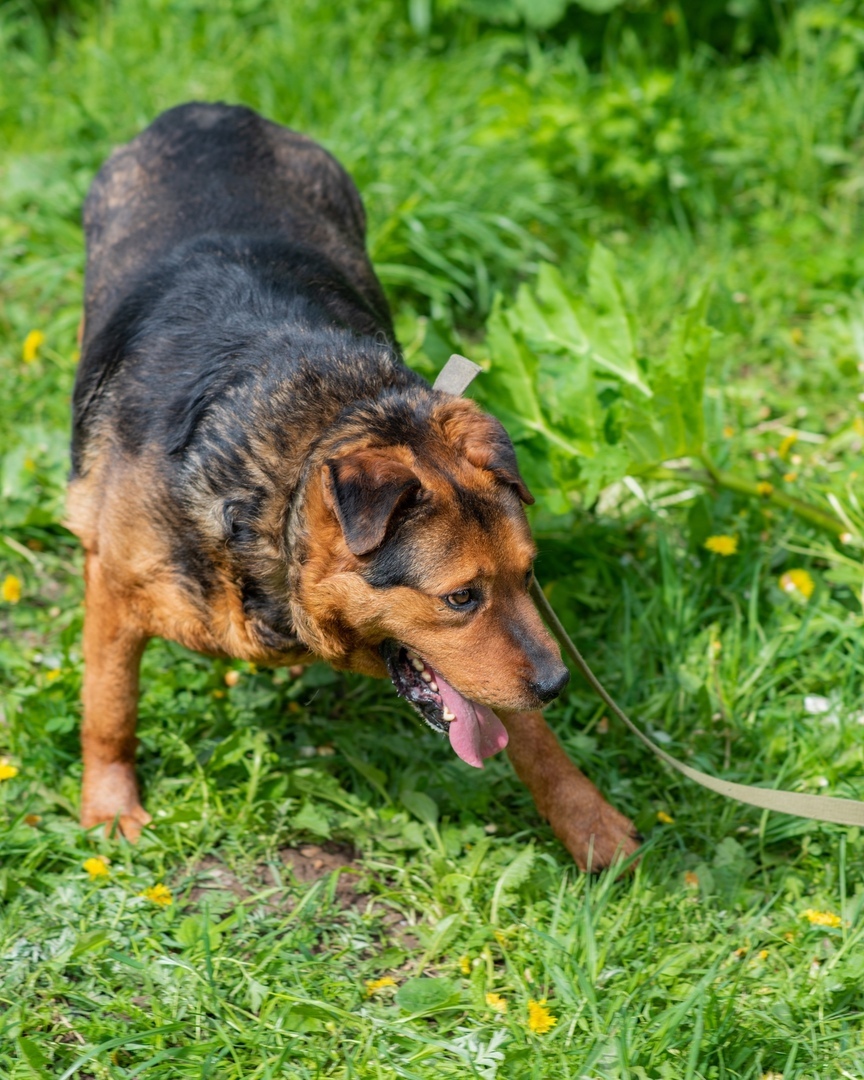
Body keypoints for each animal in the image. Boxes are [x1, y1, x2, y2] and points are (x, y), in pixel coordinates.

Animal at [67, 105, 639, 872]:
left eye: (529, 575)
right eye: (460, 598)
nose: (558, 686)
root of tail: (209, 112)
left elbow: (528, 733)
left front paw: (587, 819)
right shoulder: (114, 588)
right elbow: (110, 707)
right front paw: (108, 808)